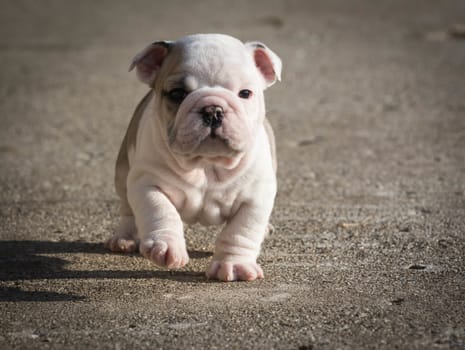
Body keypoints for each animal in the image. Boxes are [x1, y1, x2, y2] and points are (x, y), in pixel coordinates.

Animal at [104, 33, 280, 282]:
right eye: (177, 94)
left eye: (245, 93)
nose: (213, 110)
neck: (207, 164)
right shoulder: (146, 181)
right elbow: (159, 209)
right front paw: (166, 245)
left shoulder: (256, 195)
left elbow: (241, 230)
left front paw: (234, 264)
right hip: (122, 173)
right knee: (128, 208)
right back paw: (125, 238)